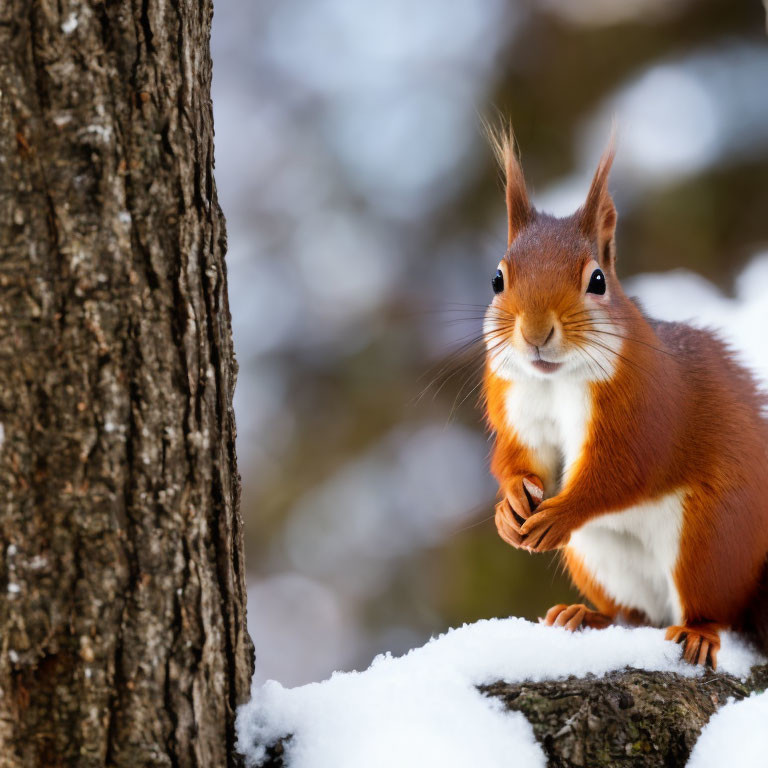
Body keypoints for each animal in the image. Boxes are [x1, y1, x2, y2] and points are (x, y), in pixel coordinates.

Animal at [484, 126, 768, 664]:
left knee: (712, 608)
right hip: (598, 559)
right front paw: (508, 507)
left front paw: (562, 512)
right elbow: (517, 457)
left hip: (709, 539)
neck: (557, 381)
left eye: (597, 280)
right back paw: (585, 616)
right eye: (497, 279)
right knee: (635, 615)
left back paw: (699, 632)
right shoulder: (517, 406)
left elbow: (623, 471)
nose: (534, 333)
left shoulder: (648, 409)